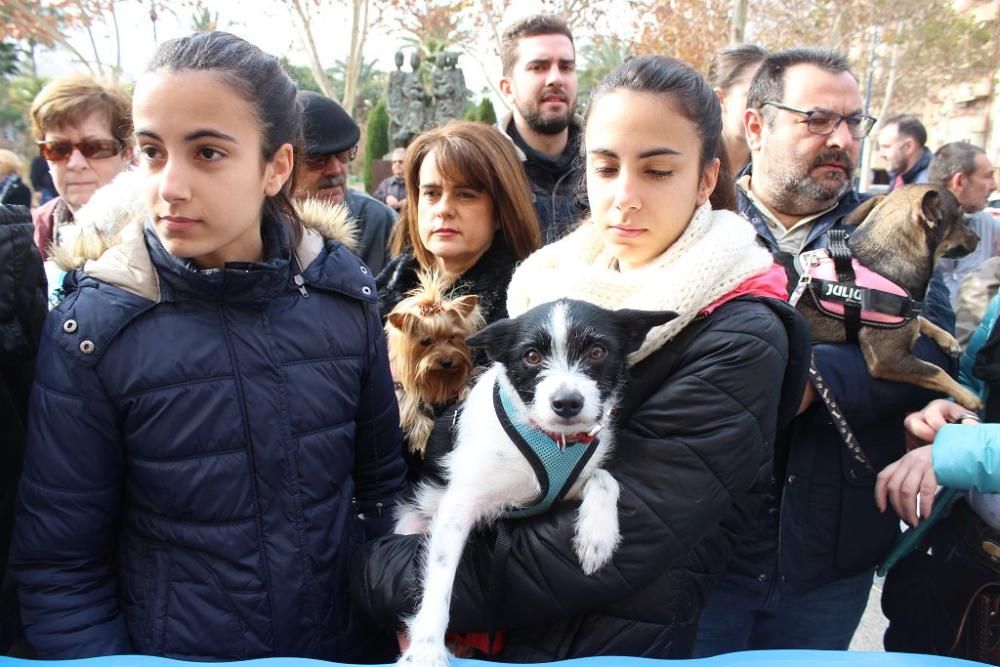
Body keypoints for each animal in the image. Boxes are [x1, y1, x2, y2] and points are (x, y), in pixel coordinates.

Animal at [394, 298, 676, 667]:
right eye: (531, 356)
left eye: (598, 351)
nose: (567, 403)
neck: (552, 438)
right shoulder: (458, 506)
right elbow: (440, 578)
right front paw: (426, 649)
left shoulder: (571, 483)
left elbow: (604, 478)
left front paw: (597, 536)